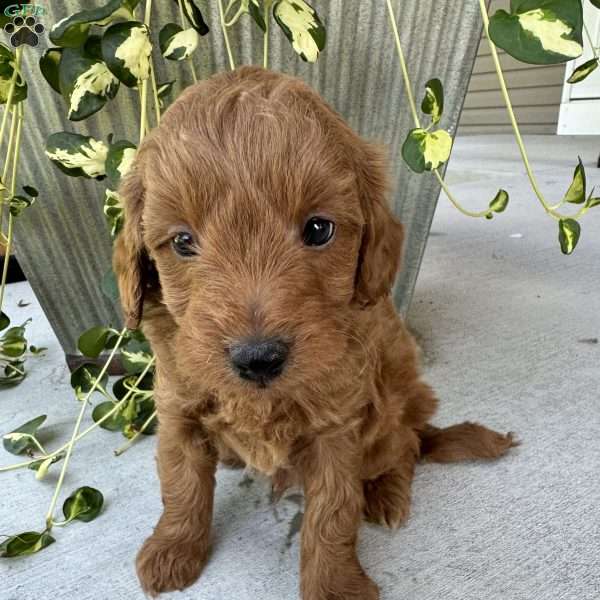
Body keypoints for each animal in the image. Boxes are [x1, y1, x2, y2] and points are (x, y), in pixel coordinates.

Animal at [113, 67, 516, 600]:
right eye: (182, 241)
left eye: (320, 229)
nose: (258, 357)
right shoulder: (178, 410)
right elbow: (180, 483)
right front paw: (173, 547)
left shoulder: (338, 427)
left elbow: (332, 514)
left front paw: (335, 586)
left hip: (389, 413)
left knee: (406, 447)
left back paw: (386, 493)